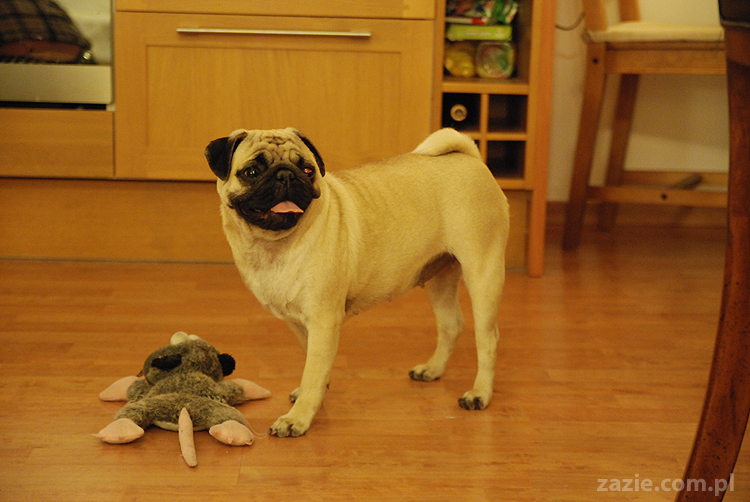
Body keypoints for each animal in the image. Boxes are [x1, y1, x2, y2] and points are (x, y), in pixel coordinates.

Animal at [205, 127, 509, 437]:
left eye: (307, 170)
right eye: (252, 171)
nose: (286, 175)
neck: (274, 246)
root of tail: (470, 158)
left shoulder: (323, 322)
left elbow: (313, 370)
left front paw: (298, 417)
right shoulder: (301, 325)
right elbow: (312, 362)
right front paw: (313, 394)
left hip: (482, 272)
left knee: (487, 340)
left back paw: (479, 394)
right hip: (439, 277)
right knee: (451, 325)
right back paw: (432, 370)